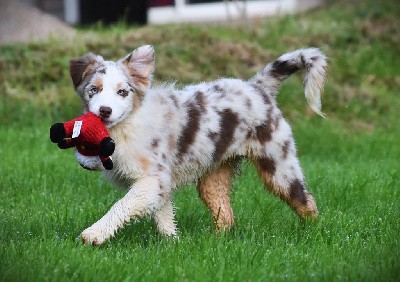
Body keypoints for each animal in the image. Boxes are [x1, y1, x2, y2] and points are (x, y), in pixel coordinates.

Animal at [68, 44, 324, 245]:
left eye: (122, 92)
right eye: (94, 89)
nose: (104, 111)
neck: (126, 125)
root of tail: (258, 87)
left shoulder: (151, 180)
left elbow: (122, 205)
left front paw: (94, 234)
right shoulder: (160, 182)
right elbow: (163, 216)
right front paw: (173, 244)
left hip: (278, 164)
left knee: (306, 200)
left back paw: (313, 233)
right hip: (214, 175)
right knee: (226, 214)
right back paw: (216, 243)